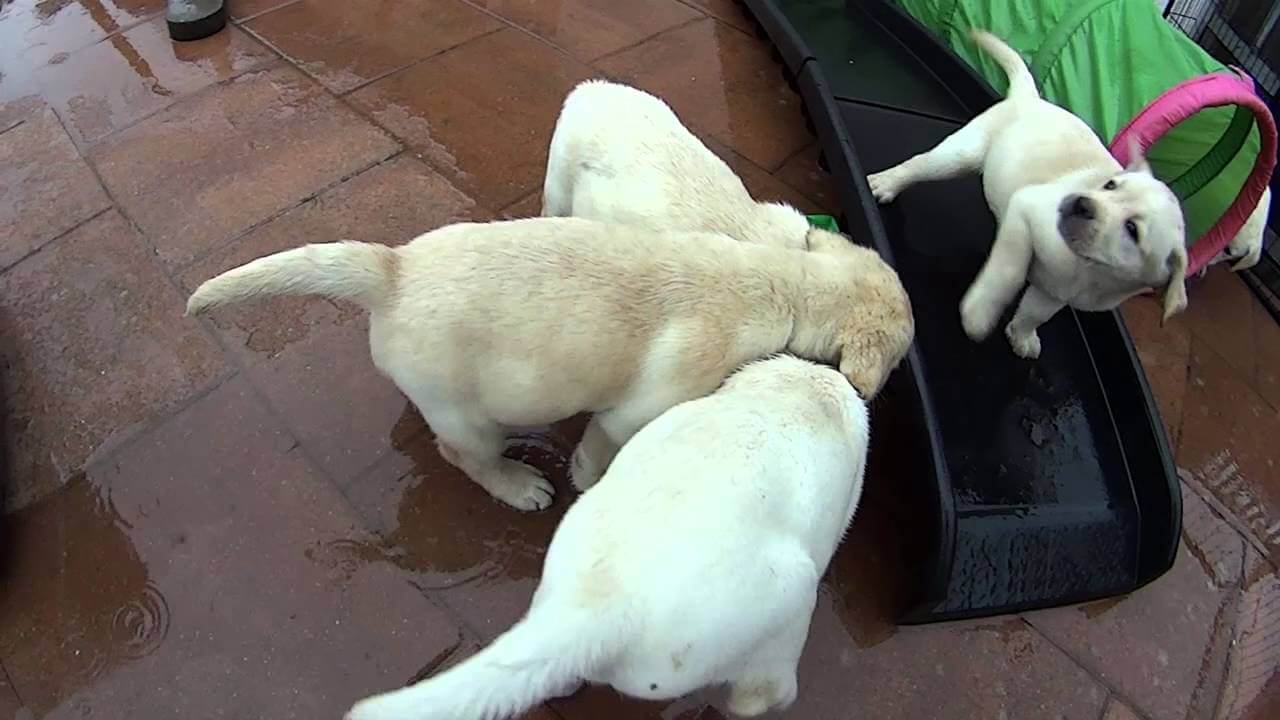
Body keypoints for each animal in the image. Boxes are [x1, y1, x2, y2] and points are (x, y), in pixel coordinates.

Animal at [185, 215, 916, 507]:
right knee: (464, 453)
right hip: (471, 413)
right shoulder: (638, 408)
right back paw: (518, 485)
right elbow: (602, 445)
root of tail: (393, 270)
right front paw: (585, 481)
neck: (786, 286)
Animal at [870, 30, 1187, 356]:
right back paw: (885, 183)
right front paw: (978, 314)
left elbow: (1036, 313)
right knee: (919, 164)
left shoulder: (1055, 294)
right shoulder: (1026, 209)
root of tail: (1031, 97)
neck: (1088, 269)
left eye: (1132, 229)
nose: (1081, 203)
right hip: (958, 156)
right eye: (1109, 185)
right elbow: (1009, 272)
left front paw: (1022, 335)